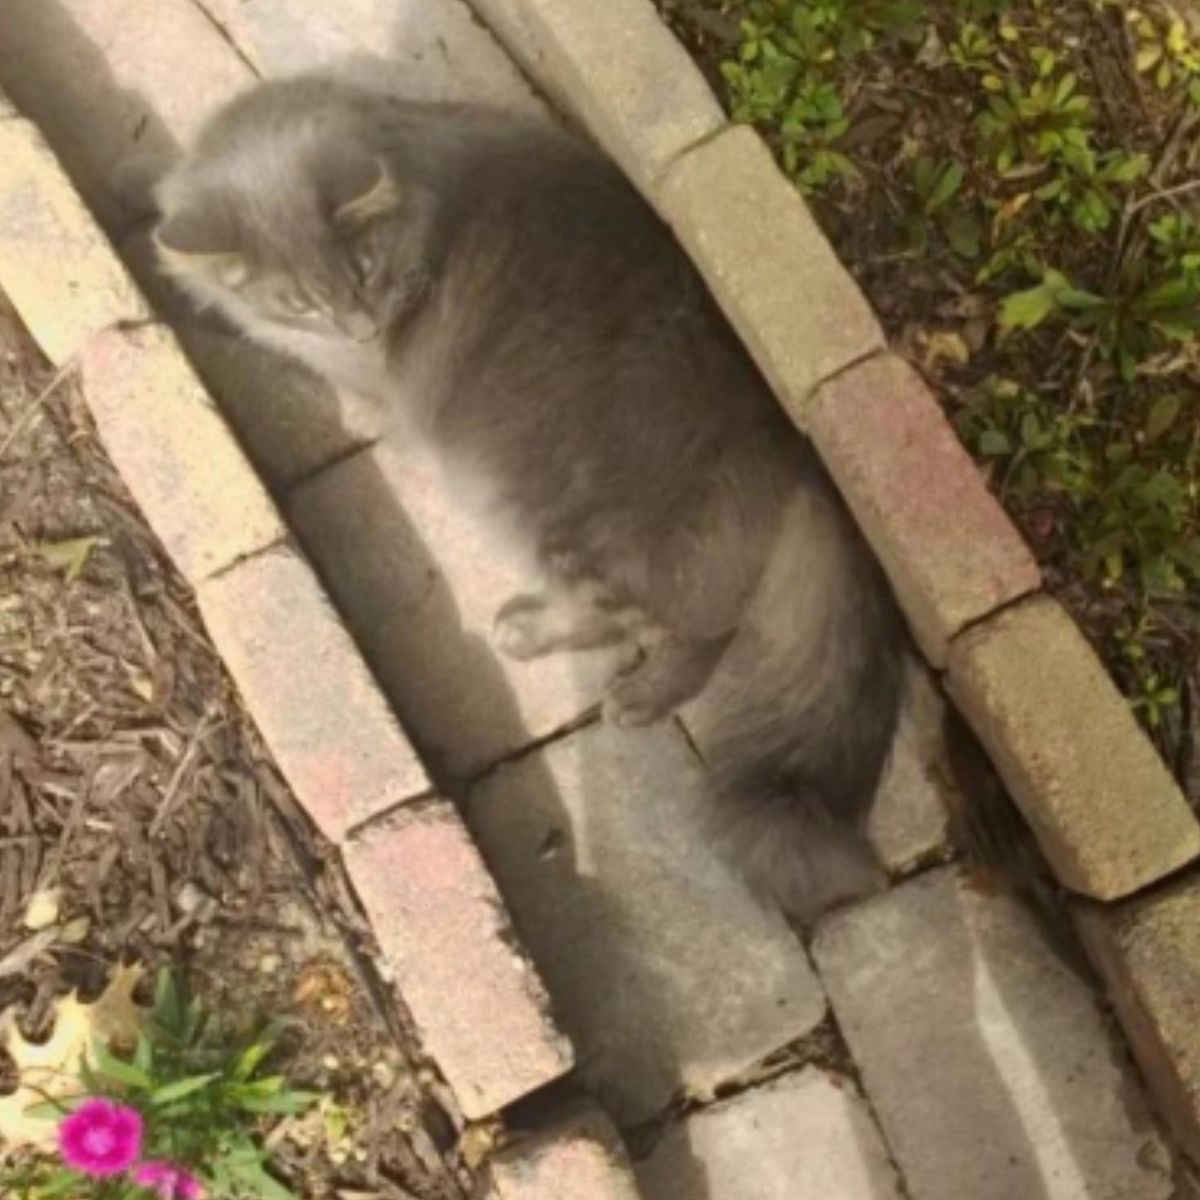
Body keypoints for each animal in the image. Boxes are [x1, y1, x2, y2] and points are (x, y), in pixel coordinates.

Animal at [154, 72, 902, 916]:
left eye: (365, 272)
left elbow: (257, 342)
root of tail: (799, 457)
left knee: (667, 625)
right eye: (304, 299)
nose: (359, 323)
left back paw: (599, 675)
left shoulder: (358, 374)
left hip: (554, 522)